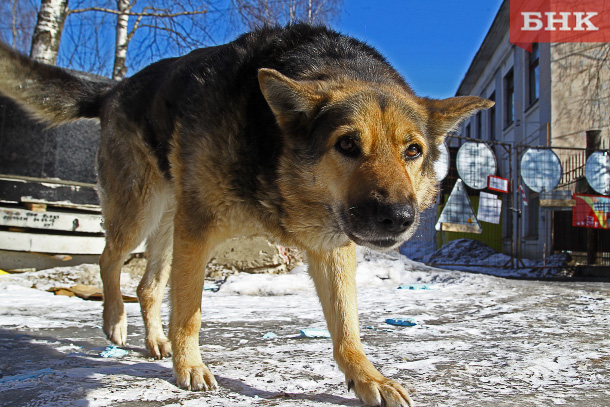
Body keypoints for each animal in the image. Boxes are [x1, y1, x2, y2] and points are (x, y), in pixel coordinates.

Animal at [0, 25, 492, 407]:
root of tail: (112, 90)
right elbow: (190, 312)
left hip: (169, 223)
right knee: (108, 258)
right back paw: (115, 322)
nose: (397, 217)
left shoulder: (332, 247)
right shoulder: (198, 230)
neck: (274, 153)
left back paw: (155, 339)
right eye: (347, 144)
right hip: (142, 210)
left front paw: (367, 377)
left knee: (147, 284)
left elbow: (347, 326)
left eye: (413, 151)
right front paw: (190, 365)